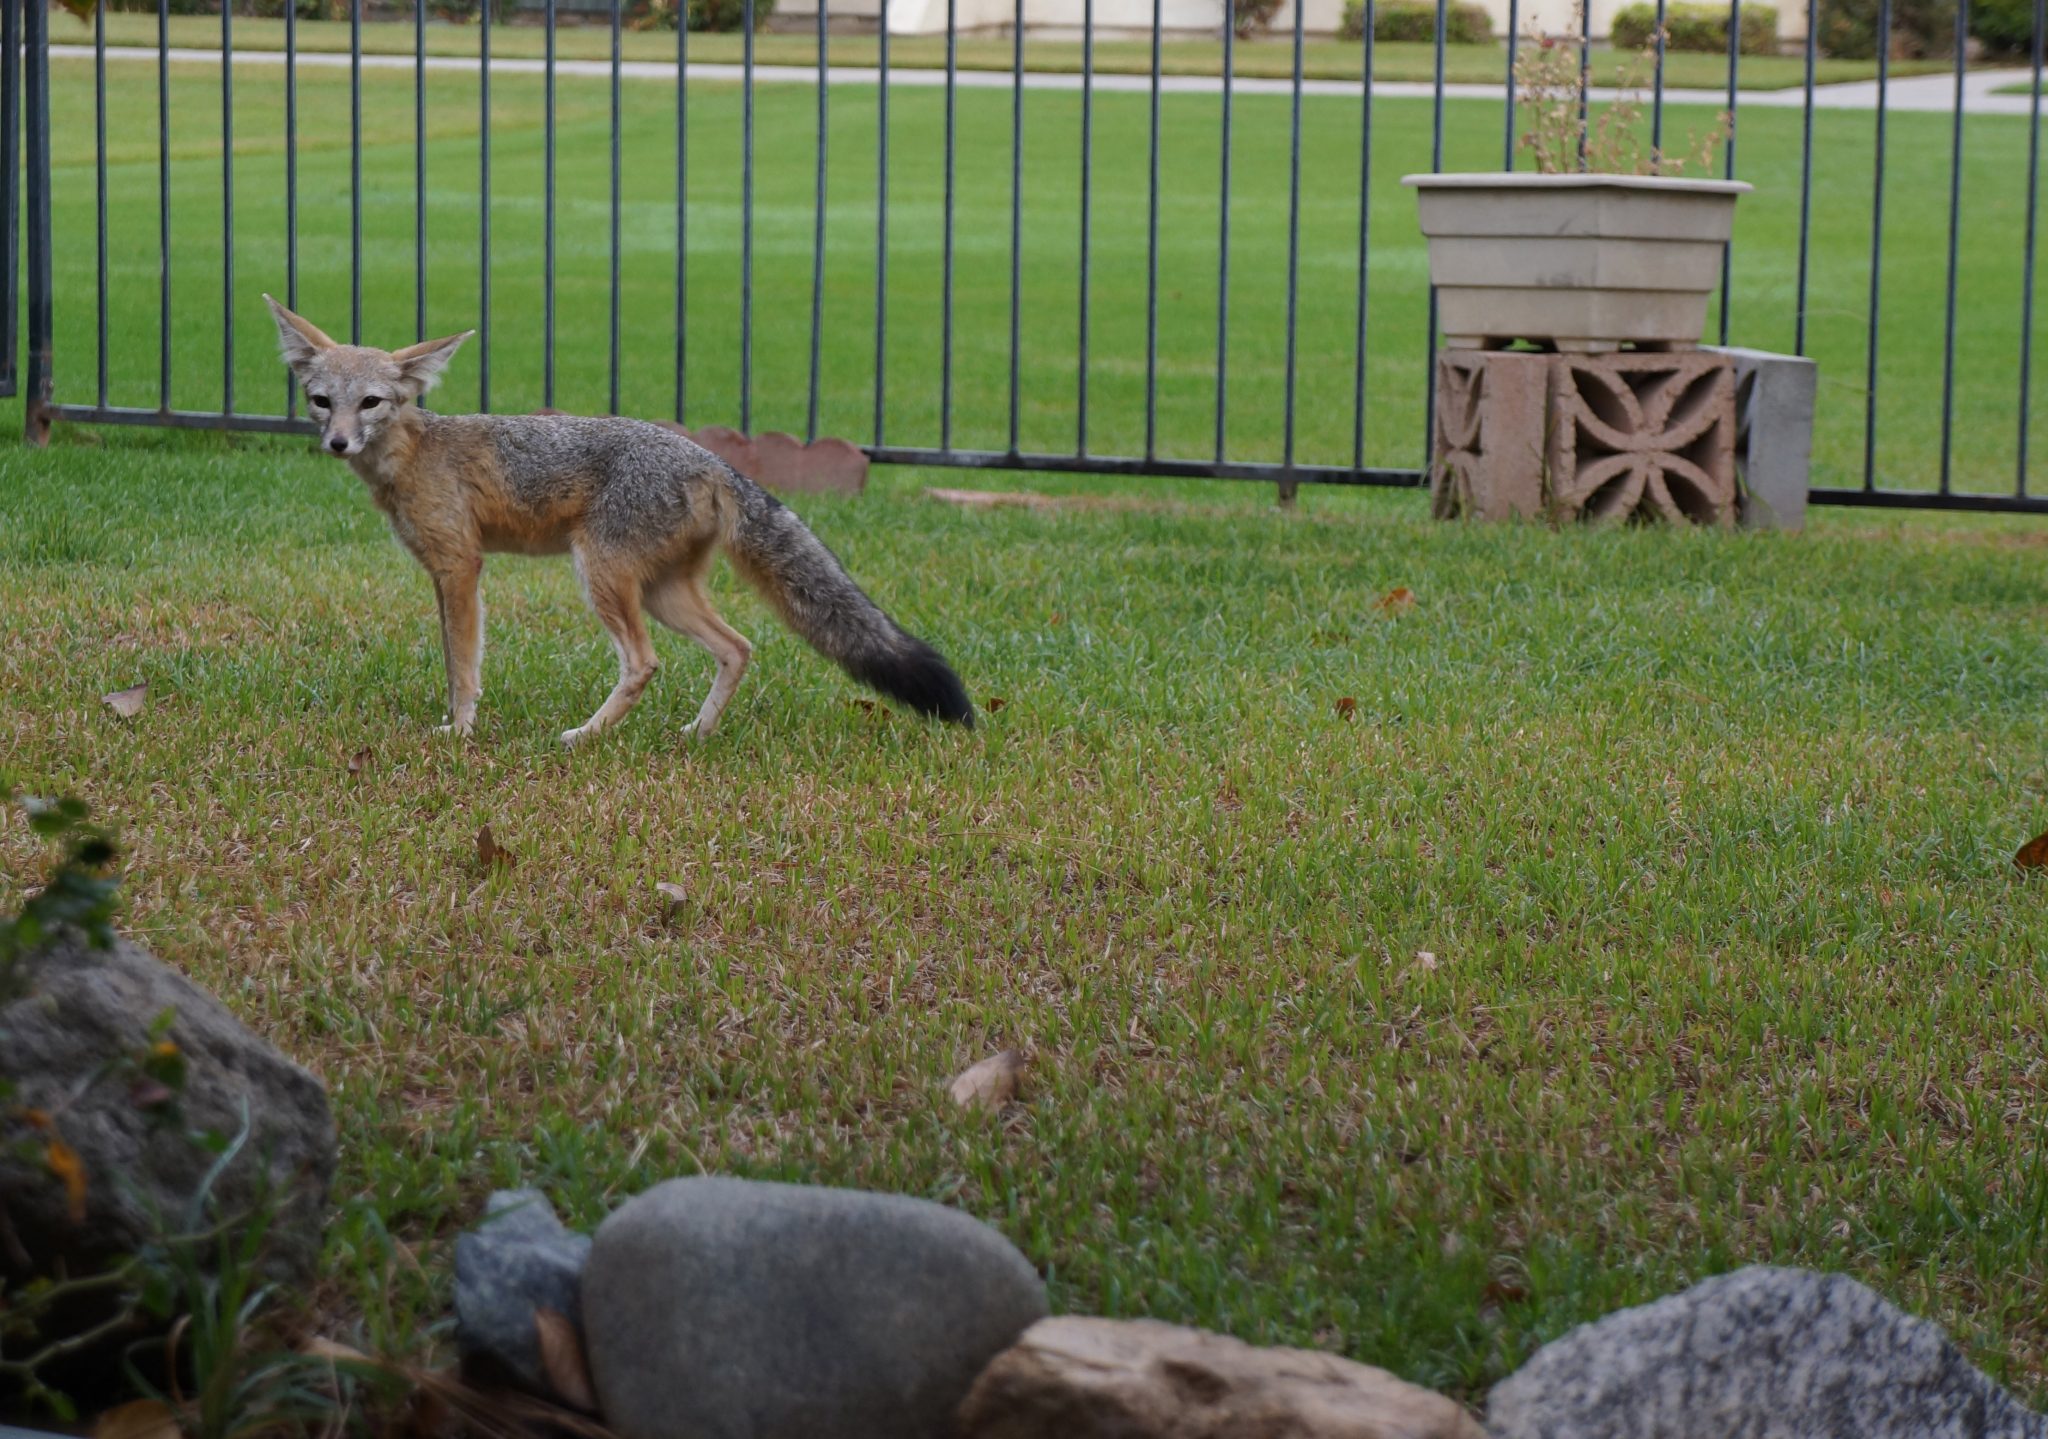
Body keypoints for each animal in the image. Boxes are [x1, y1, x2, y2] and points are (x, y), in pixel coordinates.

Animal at [266, 292, 974, 745]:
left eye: (371, 403)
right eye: (322, 401)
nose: (337, 442)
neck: (415, 453)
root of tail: (709, 459)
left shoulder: (459, 567)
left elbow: (461, 666)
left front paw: (460, 732)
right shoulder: (443, 574)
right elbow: (452, 660)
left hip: (603, 577)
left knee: (644, 663)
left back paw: (586, 735)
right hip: (663, 592)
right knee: (738, 647)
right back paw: (697, 733)